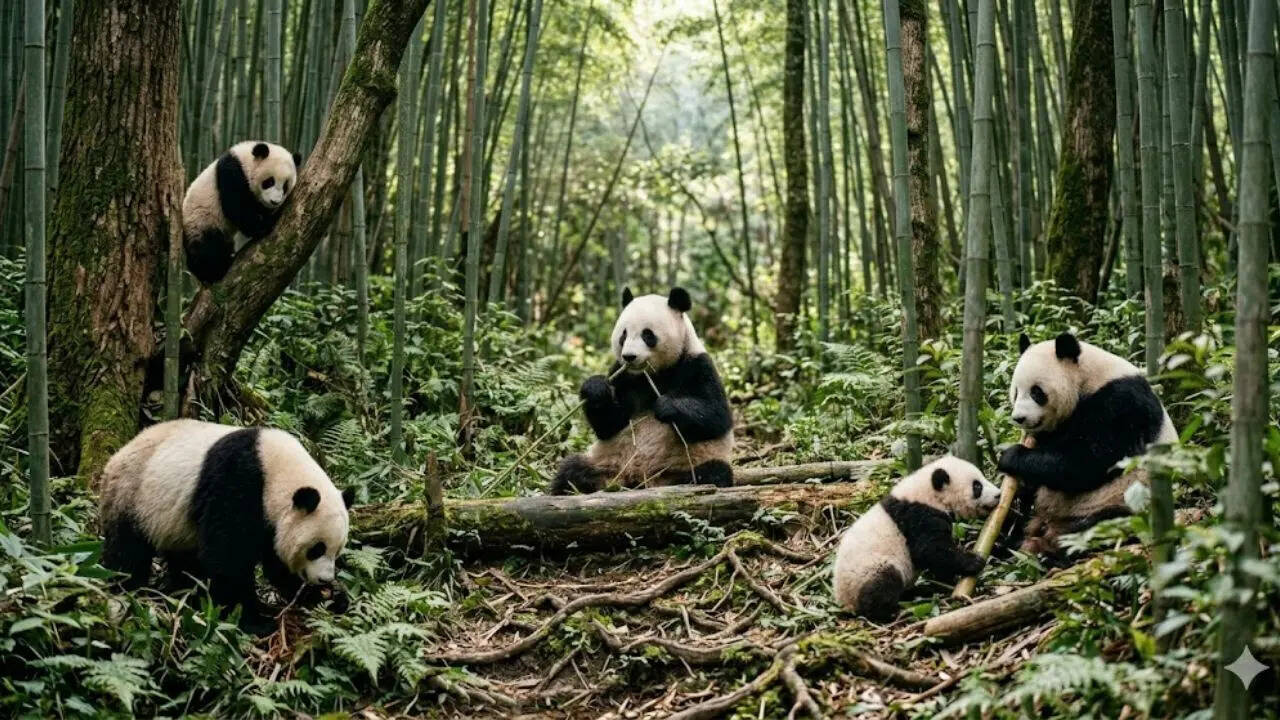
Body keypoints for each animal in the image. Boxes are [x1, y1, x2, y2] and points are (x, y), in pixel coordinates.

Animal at [99, 419, 353, 635]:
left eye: (337, 551)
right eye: (317, 549)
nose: (325, 579)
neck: (276, 470)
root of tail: (116, 456)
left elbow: (277, 566)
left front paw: (332, 599)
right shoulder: (237, 482)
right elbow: (228, 557)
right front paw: (254, 621)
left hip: (175, 523)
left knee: (184, 559)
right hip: (133, 495)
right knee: (128, 550)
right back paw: (127, 586)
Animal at [182, 140, 301, 284]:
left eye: (285, 186)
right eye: (269, 182)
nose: (275, 202)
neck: (244, 160)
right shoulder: (231, 173)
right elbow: (237, 208)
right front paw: (266, 224)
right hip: (201, 220)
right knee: (207, 249)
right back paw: (214, 270)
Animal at [549, 287, 734, 495]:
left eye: (648, 335)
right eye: (623, 335)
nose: (629, 356)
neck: (653, 374)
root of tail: (636, 479)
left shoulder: (697, 365)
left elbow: (716, 417)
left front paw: (666, 406)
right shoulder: (623, 375)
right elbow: (609, 425)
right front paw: (595, 388)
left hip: (683, 465)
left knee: (713, 472)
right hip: (606, 463)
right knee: (571, 470)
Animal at [832, 455, 1001, 621]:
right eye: (977, 486)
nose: (998, 494)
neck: (929, 494)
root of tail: (844, 601)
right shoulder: (918, 516)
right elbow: (929, 550)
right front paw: (975, 561)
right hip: (868, 569)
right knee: (882, 584)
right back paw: (889, 612)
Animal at [997, 332, 1178, 554]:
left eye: (1036, 392)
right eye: (1016, 392)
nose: (1019, 418)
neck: (1087, 378)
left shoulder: (1121, 403)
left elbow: (1088, 461)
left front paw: (1010, 455)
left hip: (1120, 501)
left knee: (1103, 523)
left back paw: (1046, 545)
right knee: (1018, 516)